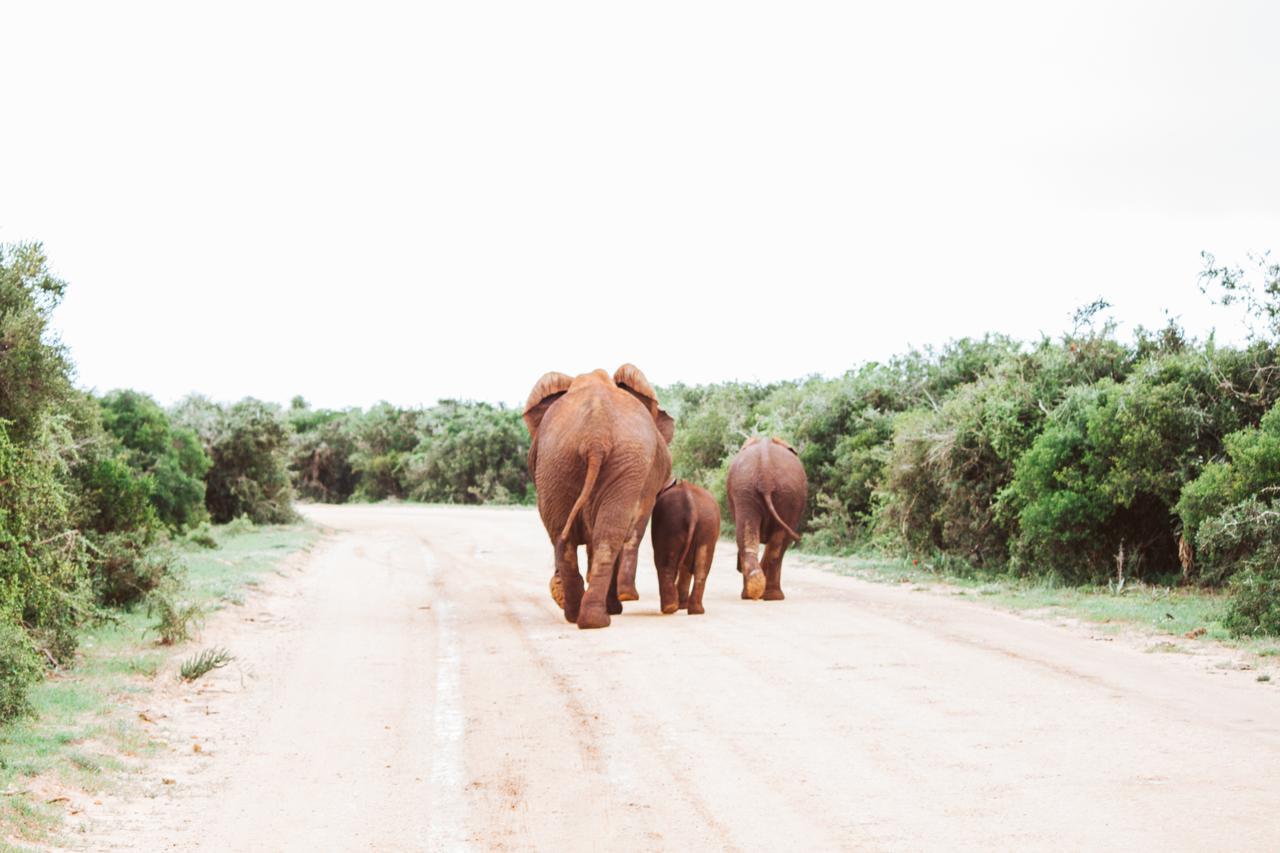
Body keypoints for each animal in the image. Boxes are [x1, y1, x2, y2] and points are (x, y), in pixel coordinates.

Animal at [522, 361, 675, 627]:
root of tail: (596, 435)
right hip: (588, 460)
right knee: (605, 536)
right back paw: (597, 617)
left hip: (558, 461)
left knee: (568, 535)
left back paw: (580, 616)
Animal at [650, 479, 721, 612]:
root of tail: (690, 502)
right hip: (708, 523)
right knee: (702, 565)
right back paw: (695, 611)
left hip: (671, 522)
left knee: (665, 563)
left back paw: (670, 608)